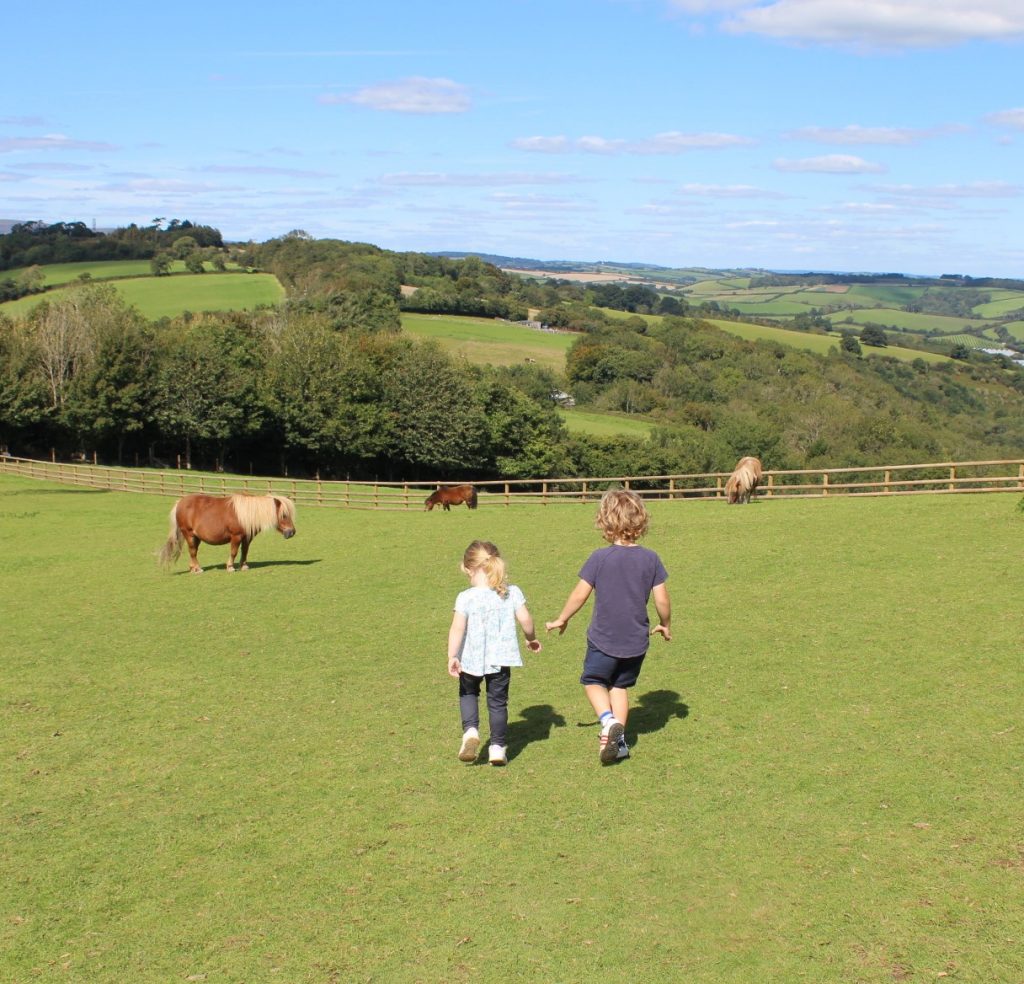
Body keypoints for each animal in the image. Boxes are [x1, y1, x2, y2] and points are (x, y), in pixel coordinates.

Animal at [157, 489, 296, 569]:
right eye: (284, 515)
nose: (292, 532)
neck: (246, 514)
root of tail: (180, 503)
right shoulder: (236, 536)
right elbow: (234, 552)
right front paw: (230, 567)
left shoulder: (247, 538)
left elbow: (245, 551)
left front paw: (244, 566)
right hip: (189, 534)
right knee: (192, 551)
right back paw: (198, 569)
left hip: (196, 537)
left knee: (193, 551)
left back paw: (193, 568)